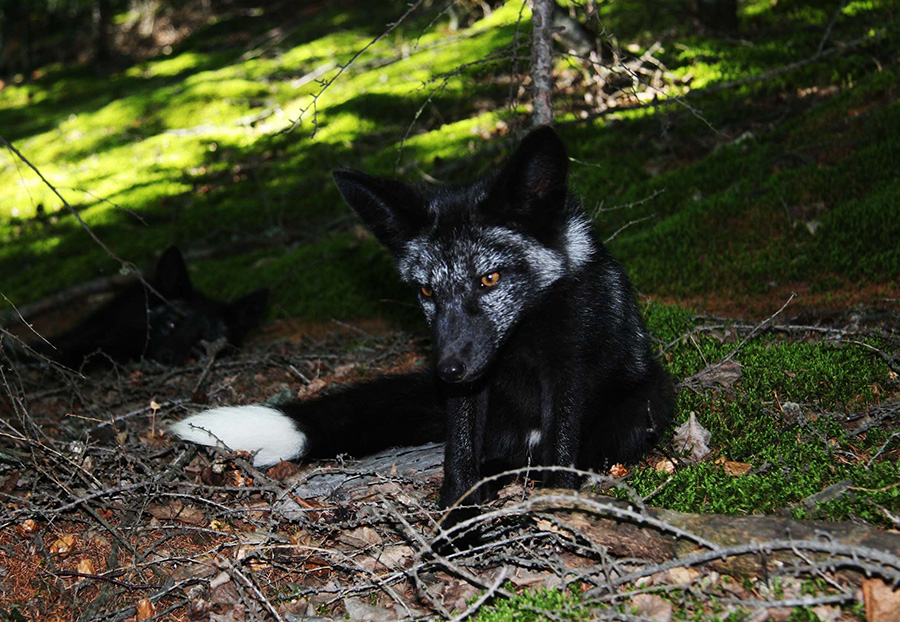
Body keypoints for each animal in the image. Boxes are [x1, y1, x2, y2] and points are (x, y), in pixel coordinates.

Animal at [171, 127, 674, 510]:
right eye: (427, 290)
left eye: (490, 278)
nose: (446, 370)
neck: (521, 339)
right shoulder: (470, 389)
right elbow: (459, 459)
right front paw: (454, 524)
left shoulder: (568, 367)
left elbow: (563, 450)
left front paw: (557, 509)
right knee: (494, 459)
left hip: (648, 402)